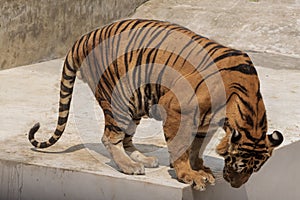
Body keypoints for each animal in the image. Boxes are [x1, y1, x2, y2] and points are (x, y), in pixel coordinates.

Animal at [27, 19, 282, 191]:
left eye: (255, 169)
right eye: (238, 166)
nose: (236, 187)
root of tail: (86, 35)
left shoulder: (206, 123)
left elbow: (197, 147)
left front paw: (200, 168)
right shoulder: (179, 110)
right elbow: (182, 146)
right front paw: (189, 175)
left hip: (135, 104)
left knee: (126, 138)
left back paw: (142, 159)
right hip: (119, 100)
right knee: (110, 138)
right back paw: (129, 166)